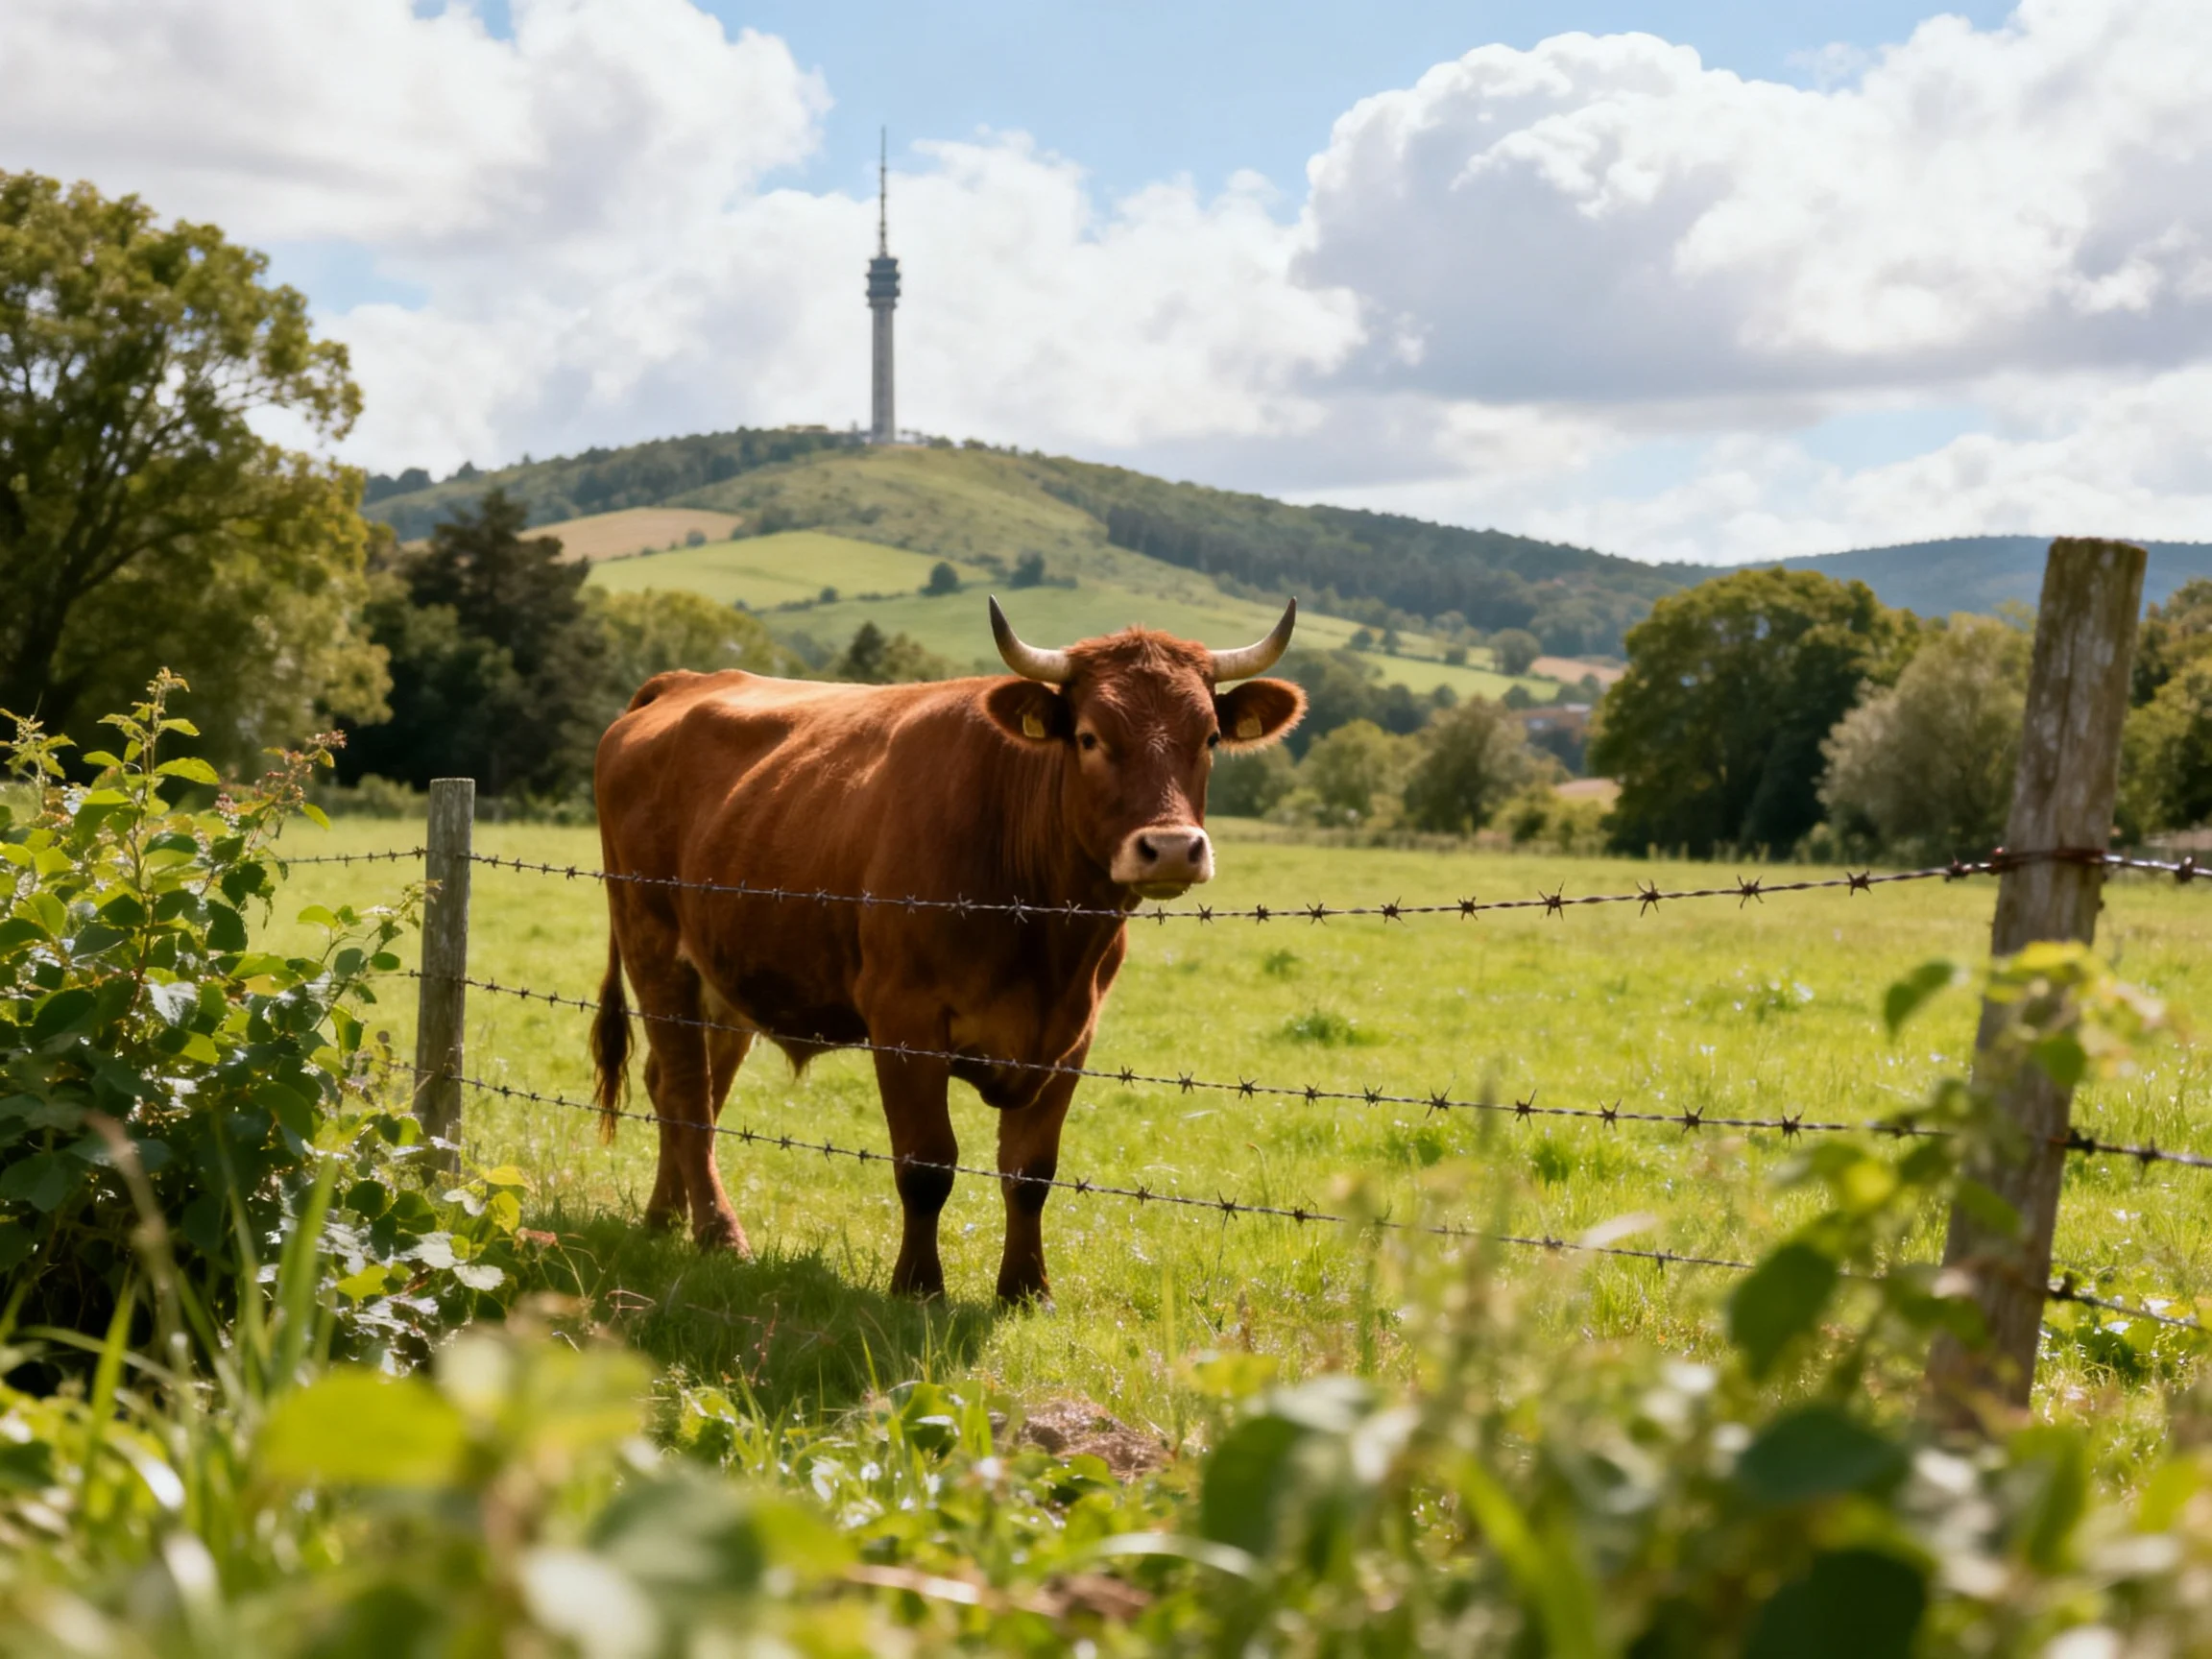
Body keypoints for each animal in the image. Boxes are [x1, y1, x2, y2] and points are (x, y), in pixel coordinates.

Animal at [588, 597, 1306, 1303]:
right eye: (1089, 737)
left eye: (1208, 738)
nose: (1172, 848)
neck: (1046, 935)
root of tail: (683, 682)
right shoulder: (904, 1020)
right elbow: (927, 1163)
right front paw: (918, 1286)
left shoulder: (1073, 1036)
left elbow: (1031, 1171)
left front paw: (1026, 1289)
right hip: (653, 946)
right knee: (687, 1095)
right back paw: (719, 1233)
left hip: (728, 978)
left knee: (677, 1085)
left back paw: (664, 1218)